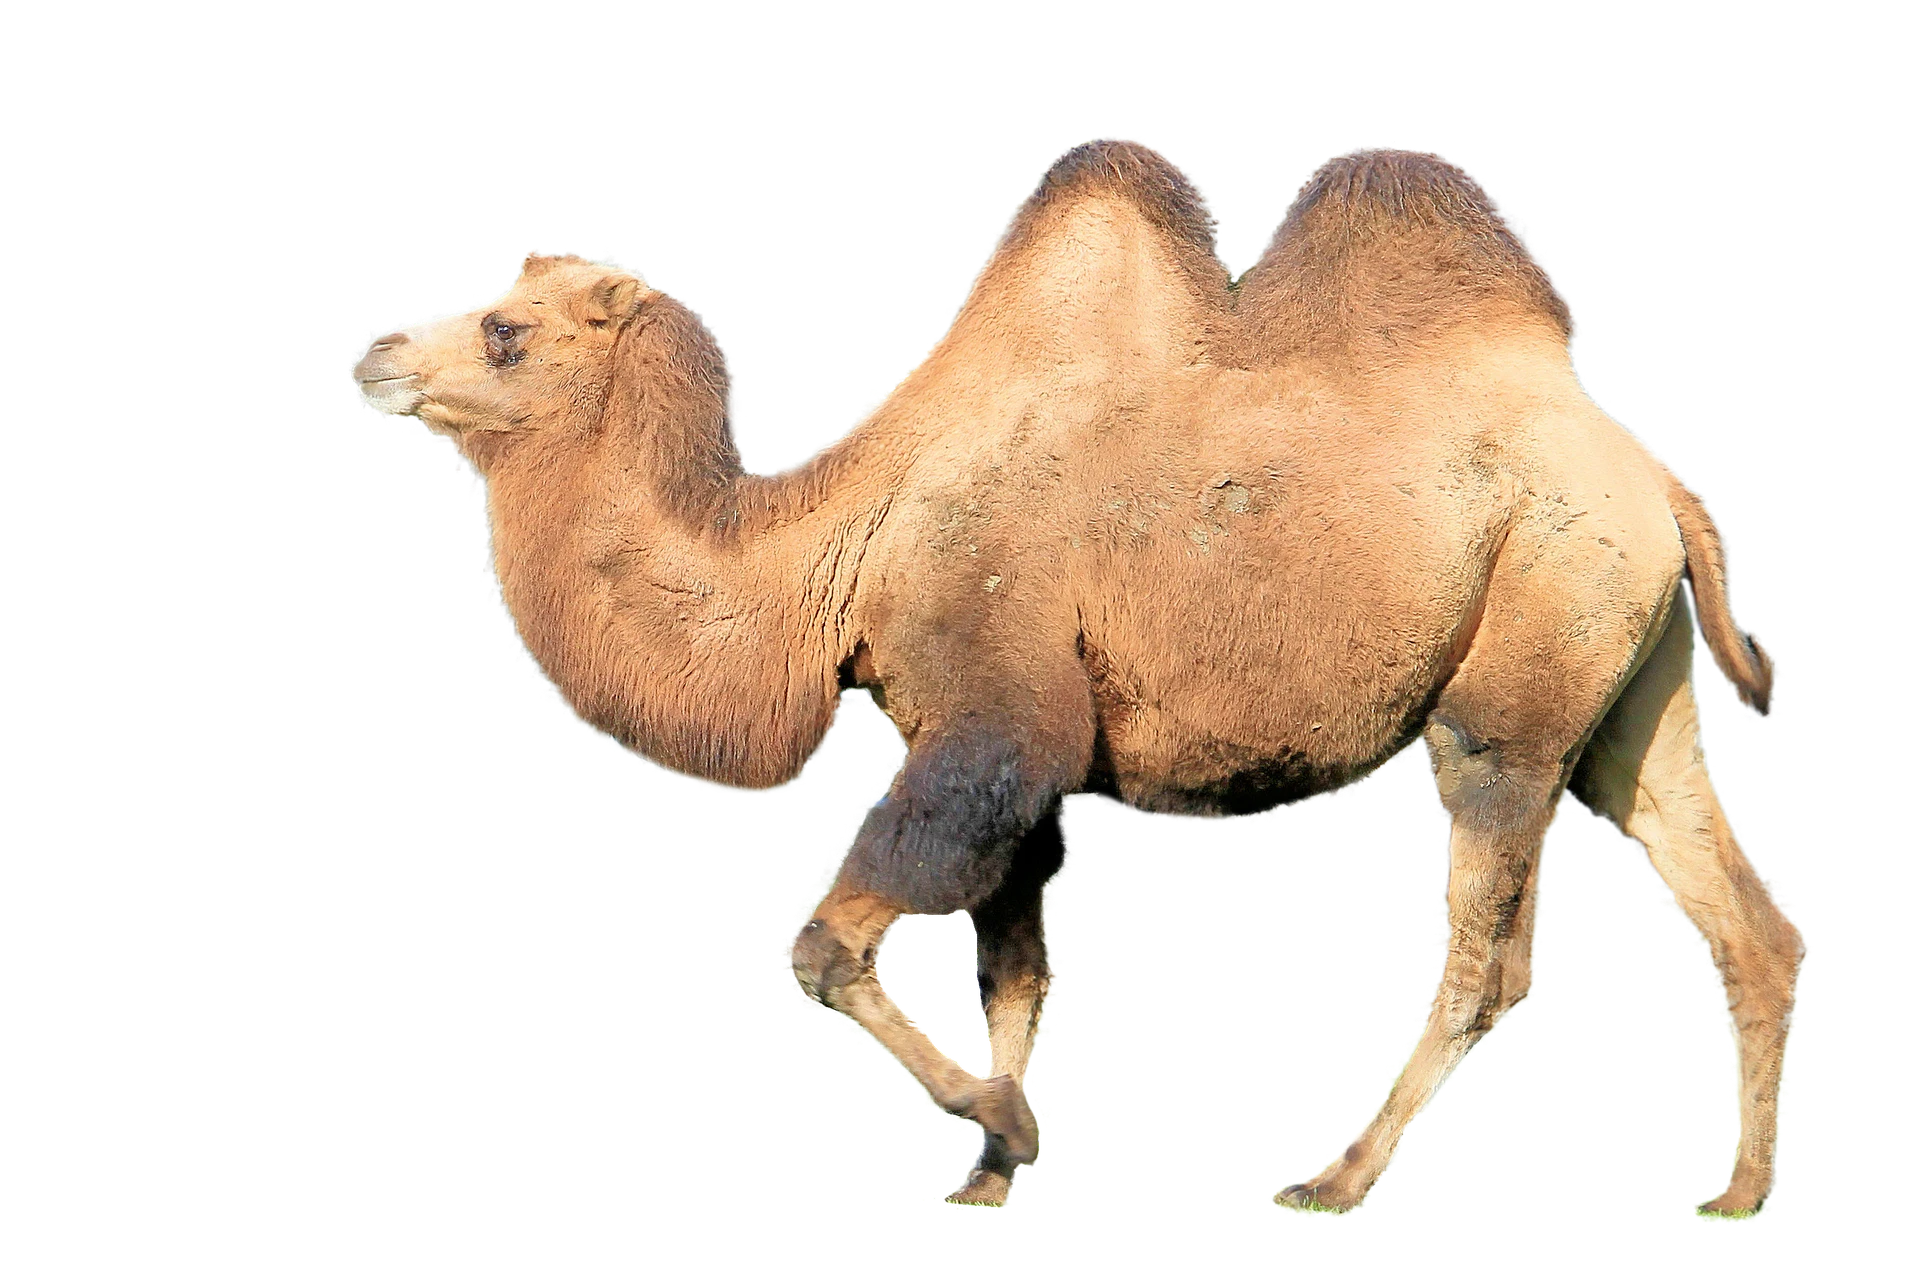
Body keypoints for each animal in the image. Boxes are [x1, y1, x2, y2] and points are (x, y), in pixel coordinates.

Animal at [351, 139, 1803, 1218]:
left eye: (506, 332)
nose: (376, 356)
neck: (842, 543)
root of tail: (1662, 480)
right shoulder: (1017, 756)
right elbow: (1013, 967)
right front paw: (988, 1170)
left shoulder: (996, 720)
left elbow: (827, 945)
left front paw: (1009, 1124)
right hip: (1630, 677)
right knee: (1734, 903)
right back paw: (1738, 1191)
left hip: (1521, 661)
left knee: (1492, 940)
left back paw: (1335, 1178)